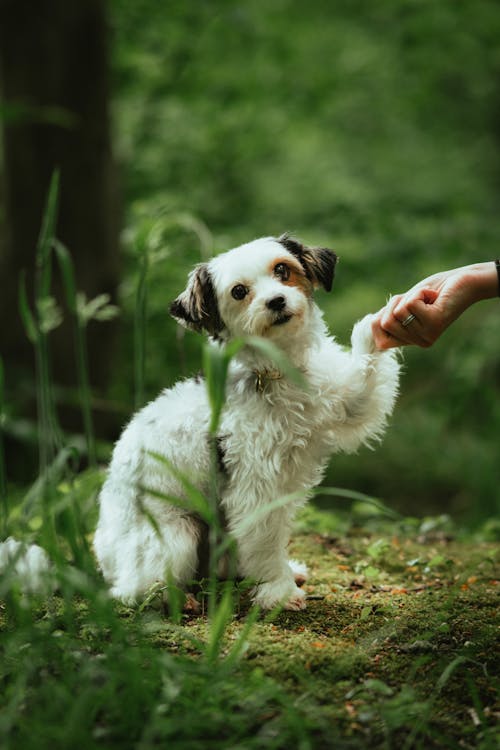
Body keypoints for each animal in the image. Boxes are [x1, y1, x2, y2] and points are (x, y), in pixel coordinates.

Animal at [92, 235, 400, 612]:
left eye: (282, 270)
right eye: (239, 292)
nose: (276, 301)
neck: (280, 374)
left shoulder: (345, 402)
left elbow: (362, 383)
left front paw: (382, 322)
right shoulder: (256, 485)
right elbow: (265, 539)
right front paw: (278, 590)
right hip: (177, 534)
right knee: (132, 591)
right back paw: (175, 598)